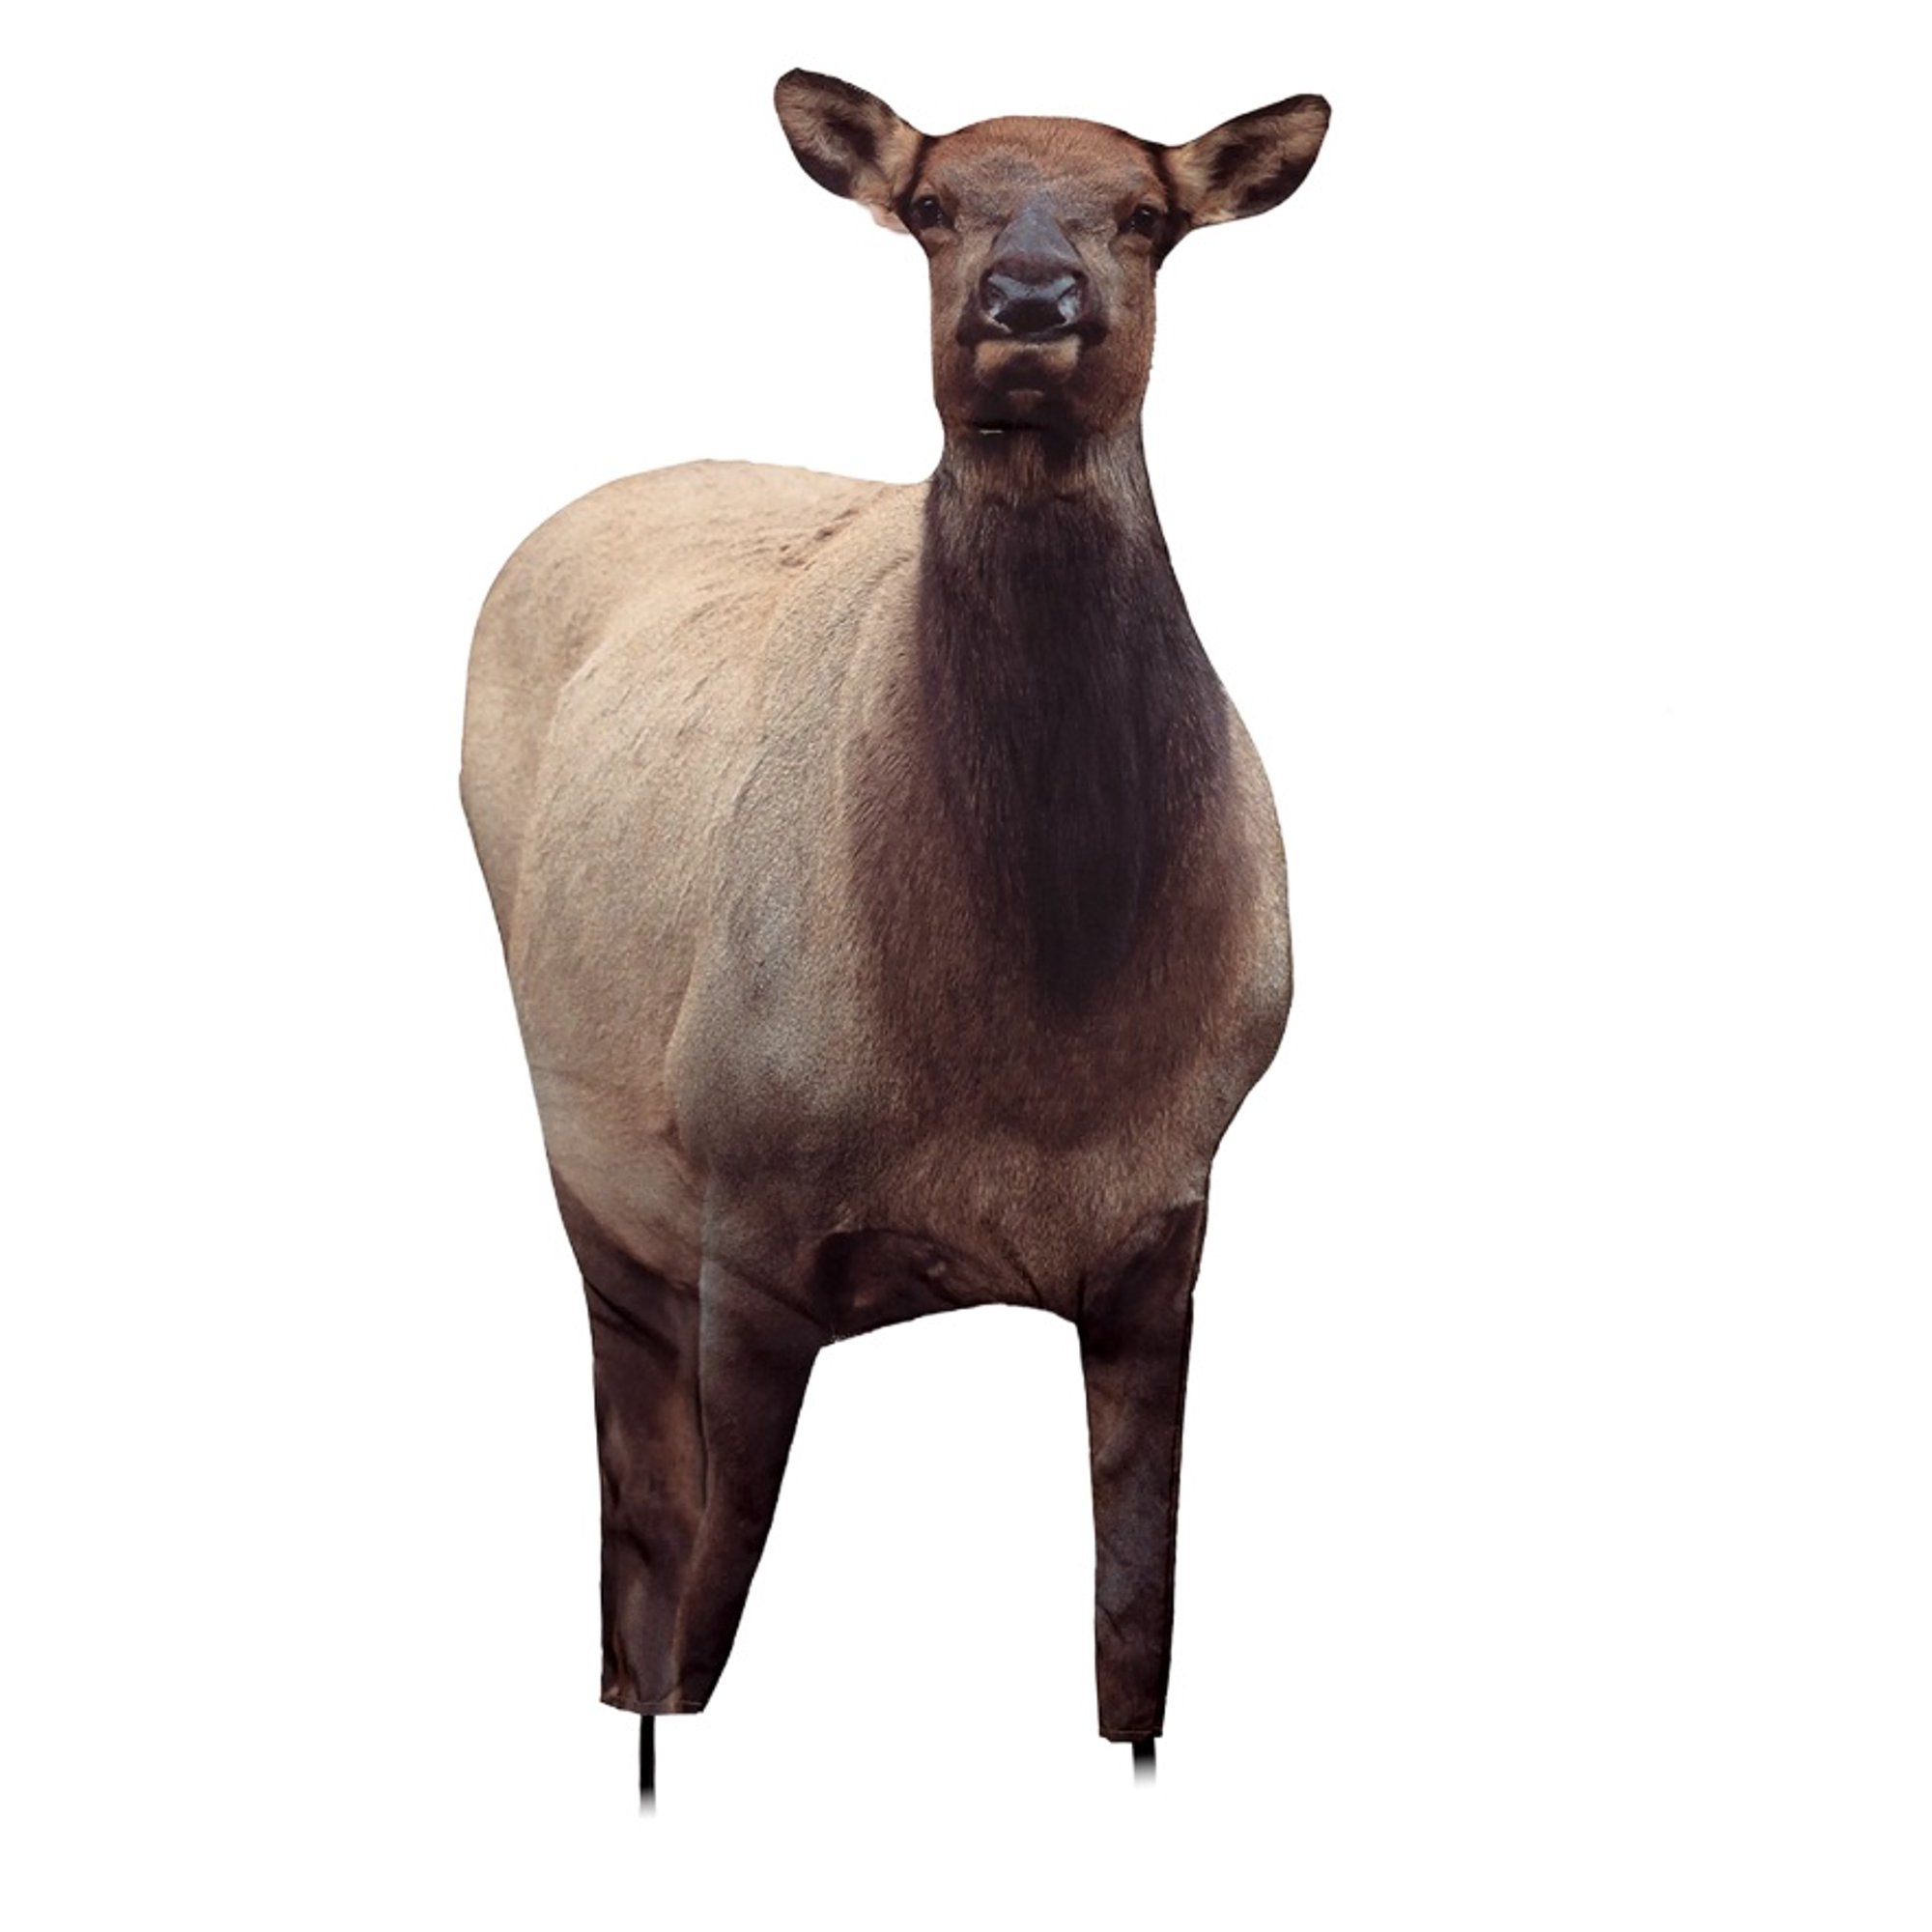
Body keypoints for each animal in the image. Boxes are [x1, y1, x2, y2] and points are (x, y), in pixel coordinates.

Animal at [461, 70, 1330, 1799]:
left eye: (1146, 216)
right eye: (933, 207)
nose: (1031, 303)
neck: (1039, 1054)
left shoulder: (1164, 1236)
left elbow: (1137, 1652)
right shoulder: (748, 1216)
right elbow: (705, 1642)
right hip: (605, 1186)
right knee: (634, 1520)